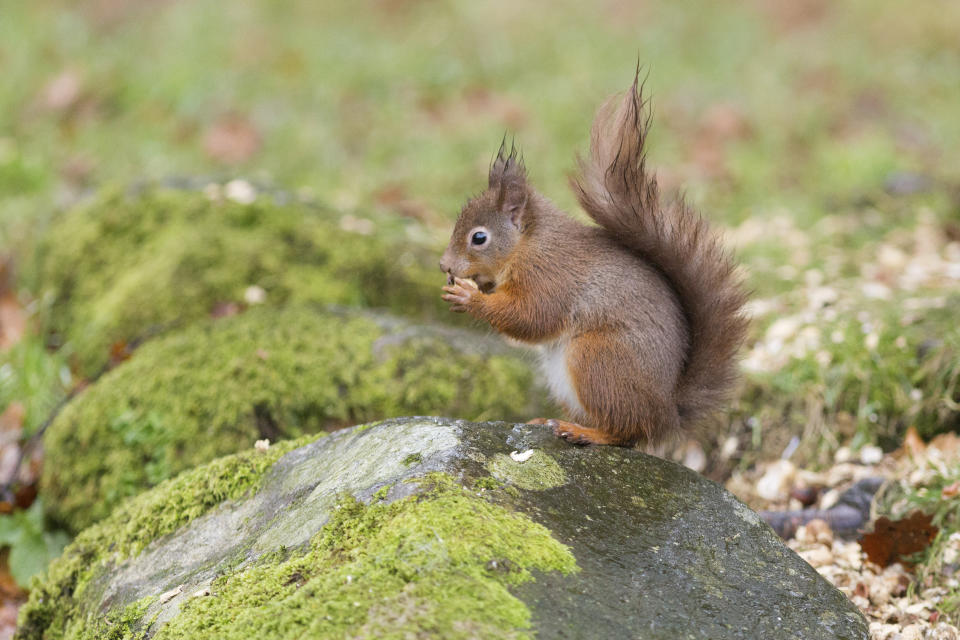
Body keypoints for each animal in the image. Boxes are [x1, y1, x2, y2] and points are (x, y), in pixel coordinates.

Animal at [442, 74, 752, 444]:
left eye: (479, 238)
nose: (444, 265)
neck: (527, 245)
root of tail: (667, 413)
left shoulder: (550, 275)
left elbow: (532, 316)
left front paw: (470, 297)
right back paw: (548, 421)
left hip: (597, 359)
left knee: (626, 431)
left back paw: (585, 432)